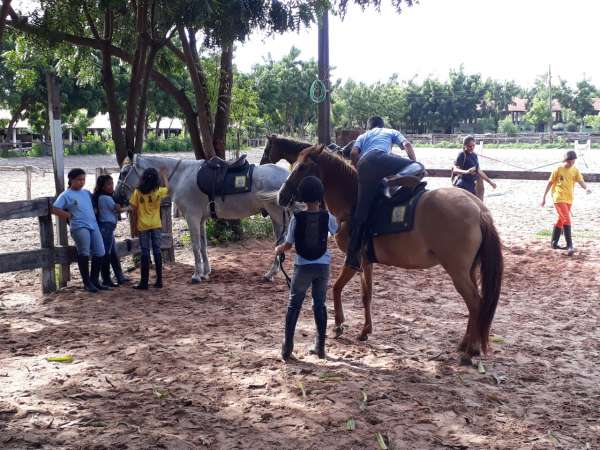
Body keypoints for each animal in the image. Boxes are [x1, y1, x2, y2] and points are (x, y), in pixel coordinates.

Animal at [115, 155, 290, 282]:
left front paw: (197, 275)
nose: (117, 197)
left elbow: (195, 246)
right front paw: (206, 272)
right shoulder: (201, 220)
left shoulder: (192, 218)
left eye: (124, 172)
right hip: (278, 219)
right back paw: (271, 274)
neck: (180, 176)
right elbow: (203, 245)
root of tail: (288, 177)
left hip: (278, 217)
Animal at [278, 145, 504, 362]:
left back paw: (471, 350)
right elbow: (366, 295)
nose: (281, 196)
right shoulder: (366, 263)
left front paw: (339, 325)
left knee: (475, 302)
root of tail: (478, 208)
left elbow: (336, 288)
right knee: (475, 305)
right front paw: (365, 331)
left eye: (302, 168)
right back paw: (465, 344)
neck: (352, 200)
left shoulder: (354, 260)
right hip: (469, 270)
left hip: (457, 271)